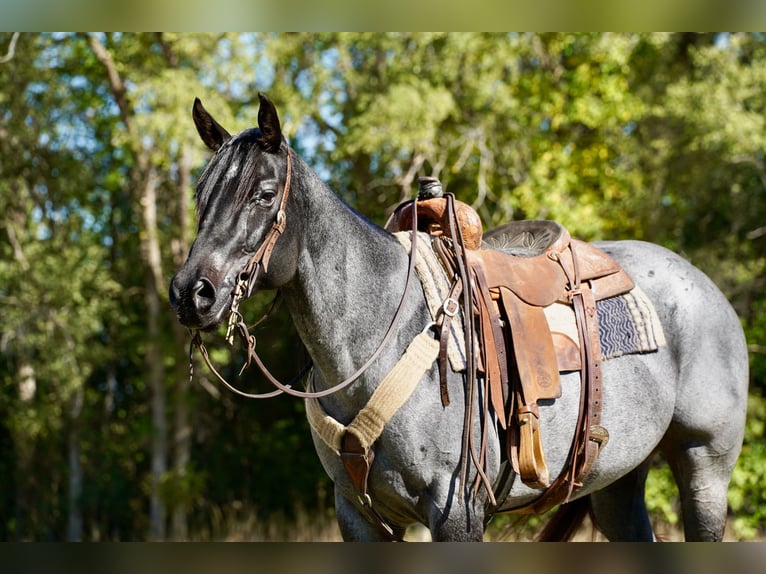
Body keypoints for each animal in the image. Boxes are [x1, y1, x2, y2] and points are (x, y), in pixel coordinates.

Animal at [169, 93, 749, 541]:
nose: (191, 293)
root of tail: (709, 291)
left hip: (705, 468)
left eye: (264, 195)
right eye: (200, 195)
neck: (376, 337)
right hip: (617, 481)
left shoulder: (457, 513)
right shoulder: (357, 516)